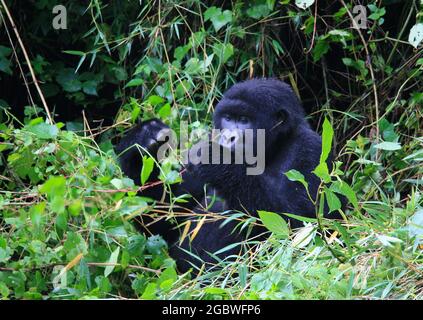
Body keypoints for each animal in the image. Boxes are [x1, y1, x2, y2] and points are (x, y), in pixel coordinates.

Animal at [115, 79, 338, 272]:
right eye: (228, 118)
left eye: (244, 120)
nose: (228, 137)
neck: (274, 148)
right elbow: (162, 223)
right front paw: (142, 139)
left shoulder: (310, 148)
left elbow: (303, 226)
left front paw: (217, 160)